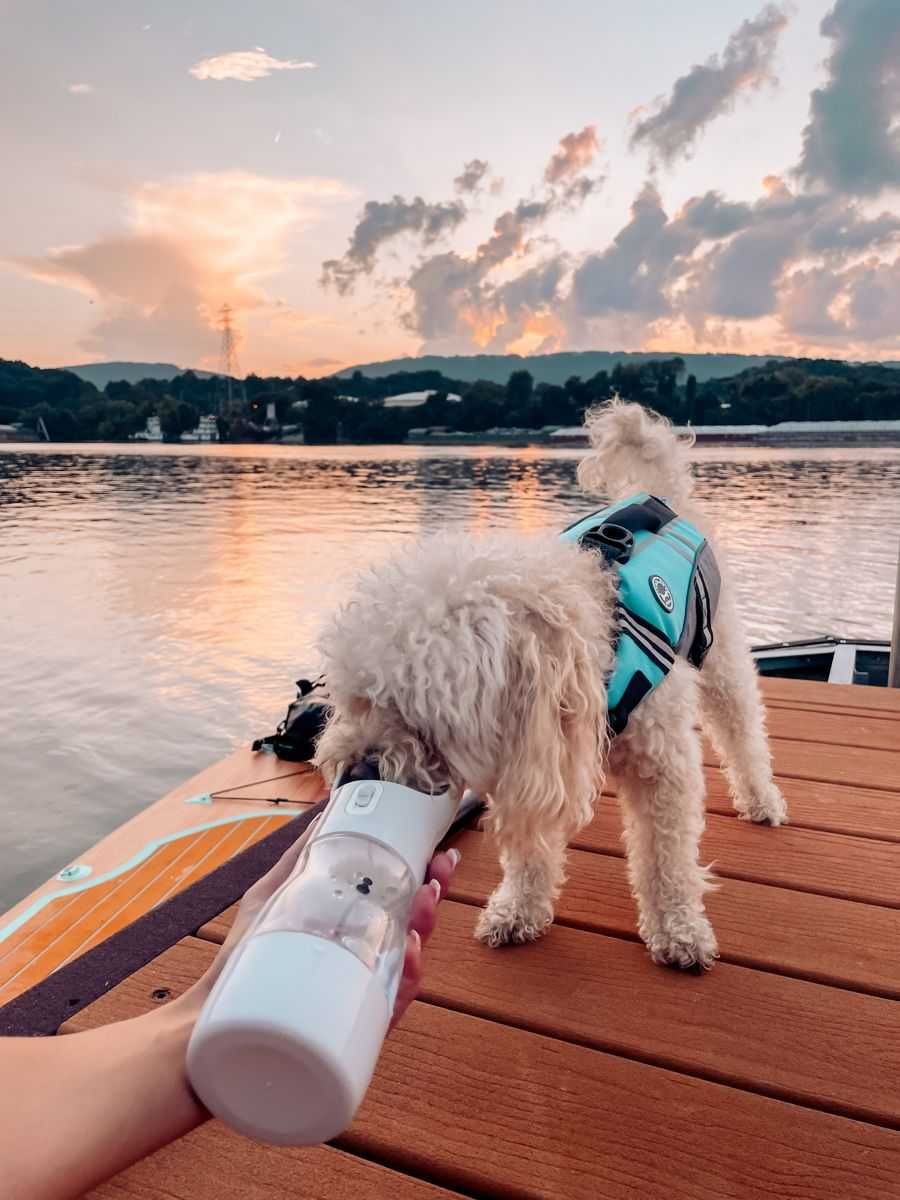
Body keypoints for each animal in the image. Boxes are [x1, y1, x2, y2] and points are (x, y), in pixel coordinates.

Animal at [314, 400, 787, 964]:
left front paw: (680, 930)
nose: (354, 771)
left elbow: (665, 857)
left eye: (421, 717)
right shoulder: (529, 752)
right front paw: (518, 910)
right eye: (355, 701)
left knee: (743, 730)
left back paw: (761, 800)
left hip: (721, 657)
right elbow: (530, 847)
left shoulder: (660, 769)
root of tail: (663, 495)